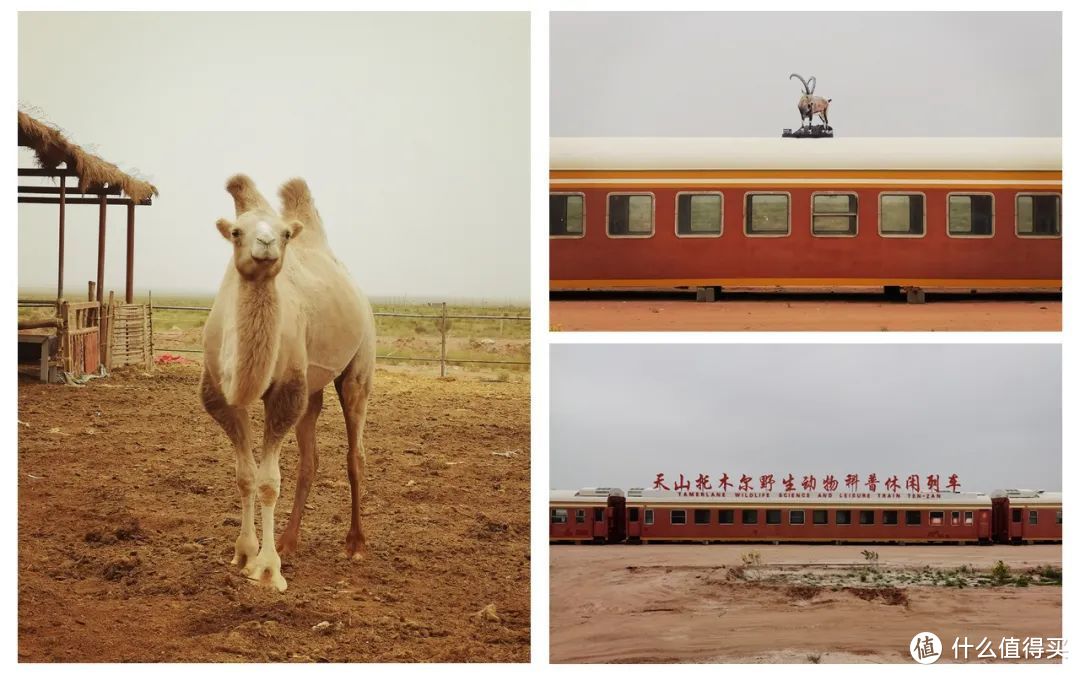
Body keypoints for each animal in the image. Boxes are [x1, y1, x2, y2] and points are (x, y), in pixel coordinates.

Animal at [200, 173, 378, 587]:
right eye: (236, 232)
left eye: (283, 233)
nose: (265, 244)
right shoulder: (221, 396)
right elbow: (245, 475)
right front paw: (244, 553)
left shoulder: (284, 393)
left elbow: (268, 481)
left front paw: (267, 569)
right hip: (311, 390)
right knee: (310, 459)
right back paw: (289, 540)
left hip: (359, 363)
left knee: (355, 454)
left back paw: (355, 544)